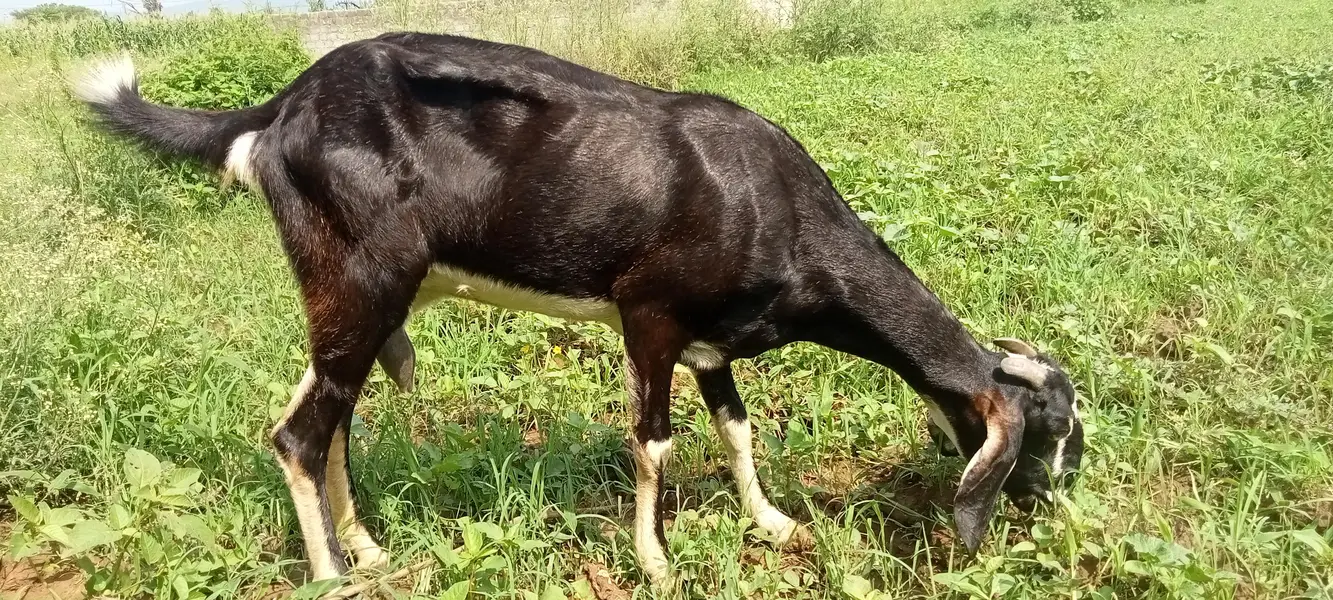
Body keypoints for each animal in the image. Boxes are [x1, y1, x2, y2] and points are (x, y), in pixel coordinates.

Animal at [73, 32, 1085, 586]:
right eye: (1049, 432)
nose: (1058, 507)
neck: (774, 205)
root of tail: (277, 109)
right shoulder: (650, 317)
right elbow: (654, 443)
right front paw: (657, 561)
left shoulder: (712, 345)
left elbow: (737, 430)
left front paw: (772, 523)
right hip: (359, 280)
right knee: (300, 433)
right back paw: (331, 574)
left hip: (357, 301)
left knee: (327, 418)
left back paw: (363, 547)